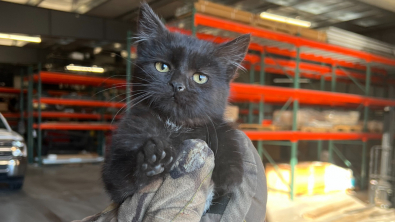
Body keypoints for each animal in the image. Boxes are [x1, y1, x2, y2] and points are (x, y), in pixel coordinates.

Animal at [102, 3, 251, 205]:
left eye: (200, 77)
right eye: (162, 66)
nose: (177, 85)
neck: (174, 124)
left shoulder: (215, 125)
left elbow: (226, 135)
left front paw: (230, 173)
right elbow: (119, 181)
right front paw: (154, 158)